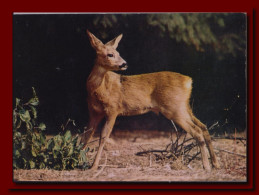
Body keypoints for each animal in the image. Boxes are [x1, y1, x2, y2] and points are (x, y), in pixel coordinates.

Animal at [82, 30, 220, 171]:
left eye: (118, 53)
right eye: (110, 54)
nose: (124, 64)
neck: (99, 89)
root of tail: (188, 81)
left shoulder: (113, 109)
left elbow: (103, 137)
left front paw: (93, 166)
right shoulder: (93, 113)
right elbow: (86, 136)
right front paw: (79, 158)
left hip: (174, 109)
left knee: (197, 131)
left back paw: (206, 166)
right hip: (184, 107)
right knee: (203, 127)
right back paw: (215, 163)